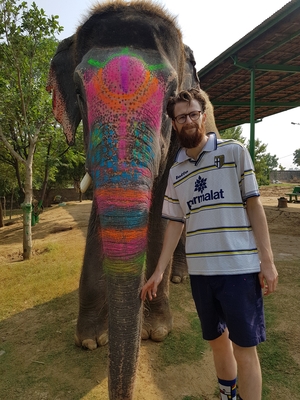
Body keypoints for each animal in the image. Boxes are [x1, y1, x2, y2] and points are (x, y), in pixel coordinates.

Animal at [45, 0, 217, 400]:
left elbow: (161, 214)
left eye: (172, 99)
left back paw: (179, 279)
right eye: (78, 94)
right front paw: (90, 340)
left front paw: (157, 332)